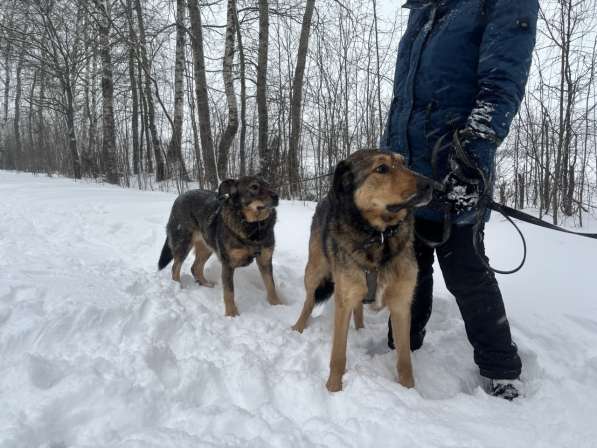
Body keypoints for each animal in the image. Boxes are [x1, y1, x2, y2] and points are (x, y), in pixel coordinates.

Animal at [292, 149, 430, 390]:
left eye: (404, 163)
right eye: (381, 168)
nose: (432, 185)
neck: (380, 236)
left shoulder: (401, 306)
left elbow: (404, 360)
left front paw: (409, 390)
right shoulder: (343, 301)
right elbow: (338, 356)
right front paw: (333, 389)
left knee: (358, 309)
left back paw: (361, 330)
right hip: (315, 271)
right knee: (309, 302)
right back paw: (298, 328)